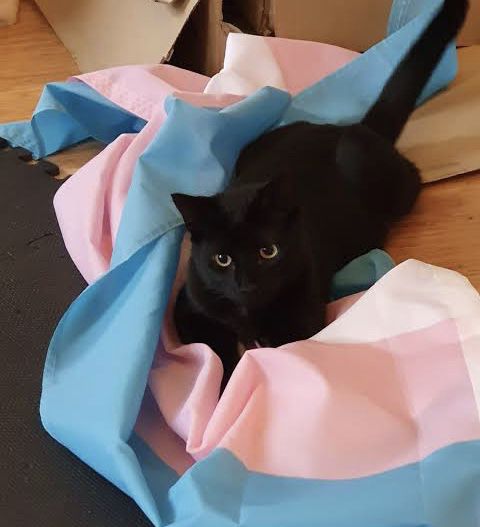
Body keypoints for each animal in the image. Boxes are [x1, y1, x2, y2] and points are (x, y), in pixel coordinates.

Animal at [172, 0, 468, 388]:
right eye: (221, 259)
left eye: (269, 251)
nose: (246, 284)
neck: (249, 313)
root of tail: (352, 127)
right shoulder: (188, 307)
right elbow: (216, 350)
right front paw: (226, 379)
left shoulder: (303, 321)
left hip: (386, 180)